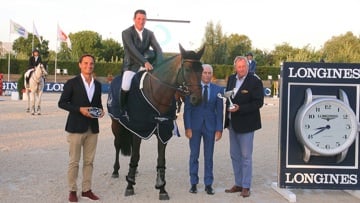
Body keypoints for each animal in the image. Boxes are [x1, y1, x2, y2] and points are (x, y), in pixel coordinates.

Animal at [107, 44, 204, 200]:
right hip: (116, 124)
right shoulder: (139, 129)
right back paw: (116, 171)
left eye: (201, 70)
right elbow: (135, 157)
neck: (157, 94)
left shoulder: (162, 131)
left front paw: (162, 189)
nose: (197, 99)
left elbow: (161, 160)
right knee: (117, 144)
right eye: (188, 69)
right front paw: (129, 186)